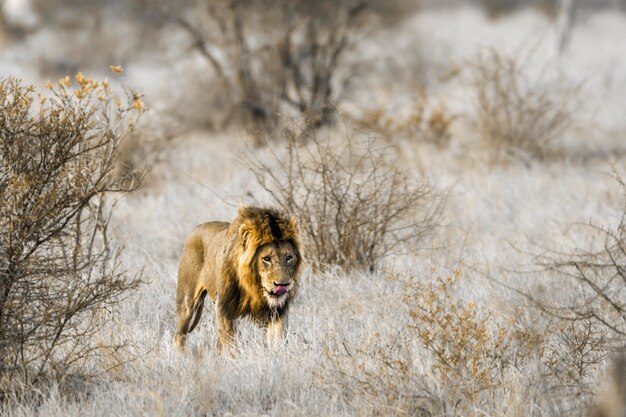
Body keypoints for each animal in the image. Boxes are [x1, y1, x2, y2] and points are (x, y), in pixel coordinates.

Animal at [173, 206, 302, 350]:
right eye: (266, 258)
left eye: (289, 257)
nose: (283, 285)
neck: (253, 285)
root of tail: (196, 229)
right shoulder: (224, 308)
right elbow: (231, 344)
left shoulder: (279, 311)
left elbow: (278, 340)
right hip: (187, 302)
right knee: (179, 336)